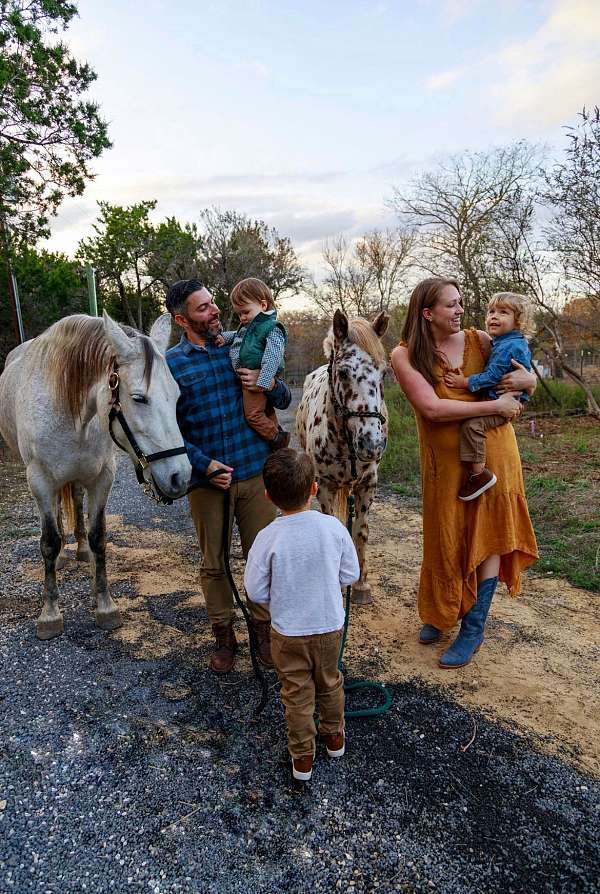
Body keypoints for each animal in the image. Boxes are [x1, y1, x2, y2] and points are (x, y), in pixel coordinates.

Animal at [0, 312, 191, 640]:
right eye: (138, 398)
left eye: (177, 395)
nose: (181, 476)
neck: (71, 410)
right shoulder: (40, 482)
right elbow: (48, 542)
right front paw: (50, 613)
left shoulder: (102, 478)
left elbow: (98, 536)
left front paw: (105, 605)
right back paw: (63, 556)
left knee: (76, 502)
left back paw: (79, 549)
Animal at [296, 310, 390, 608]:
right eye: (344, 372)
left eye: (384, 372)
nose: (372, 444)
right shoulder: (325, 486)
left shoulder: (367, 484)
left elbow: (360, 530)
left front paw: (361, 585)